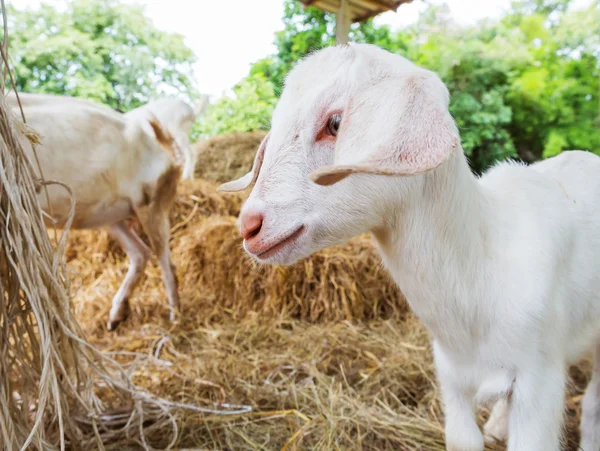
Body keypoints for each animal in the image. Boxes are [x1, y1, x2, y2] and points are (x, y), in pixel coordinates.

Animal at [7, 92, 182, 332]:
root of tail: (163, 138)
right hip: (113, 216)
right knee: (140, 253)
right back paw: (116, 315)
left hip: (153, 204)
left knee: (166, 261)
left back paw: (175, 317)